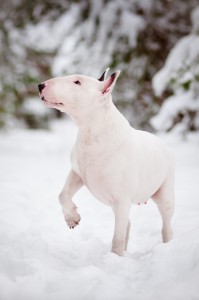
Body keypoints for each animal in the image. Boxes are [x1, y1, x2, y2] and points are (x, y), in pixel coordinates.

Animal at [38, 68, 175, 255]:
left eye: (77, 82)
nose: (40, 85)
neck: (92, 132)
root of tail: (162, 142)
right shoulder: (78, 173)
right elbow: (63, 194)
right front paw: (72, 218)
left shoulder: (122, 199)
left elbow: (117, 238)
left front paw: (115, 257)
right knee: (127, 224)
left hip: (164, 192)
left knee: (165, 223)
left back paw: (167, 246)